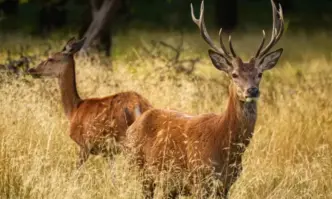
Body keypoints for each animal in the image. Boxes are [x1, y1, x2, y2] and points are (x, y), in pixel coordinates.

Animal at [27, 37, 152, 168]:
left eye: (50, 58)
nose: (31, 70)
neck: (74, 110)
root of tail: (138, 105)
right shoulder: (109, 152)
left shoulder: (84, 144)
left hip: (124, 138)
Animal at [125, 0, 286, 198]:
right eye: (234, 74)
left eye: (260, 74)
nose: (252, 90)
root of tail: (134, 123)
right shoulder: (199, 179)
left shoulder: (226, 185)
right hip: (141, 169)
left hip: (169, 184)